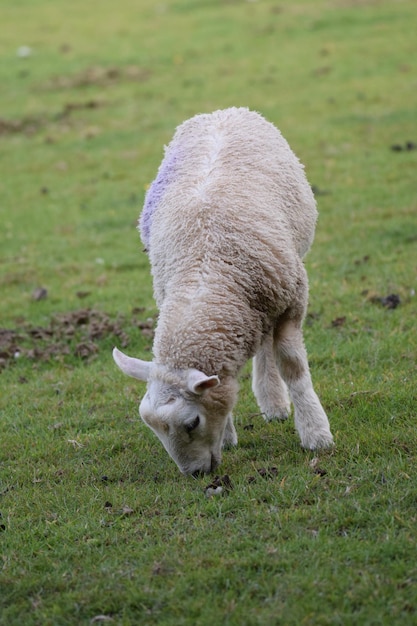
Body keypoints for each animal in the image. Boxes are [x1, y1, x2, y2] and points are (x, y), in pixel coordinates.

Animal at [112, 106, 334, 472]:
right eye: (154, 429)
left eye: (192, 423)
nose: (195, 474)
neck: (205, 273)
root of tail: (221, 112)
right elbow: (224, 384)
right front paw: (228, 437)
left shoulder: (291, 303)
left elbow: (293, 367)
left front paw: (316, 434)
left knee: (266, 345)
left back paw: (275, 403)